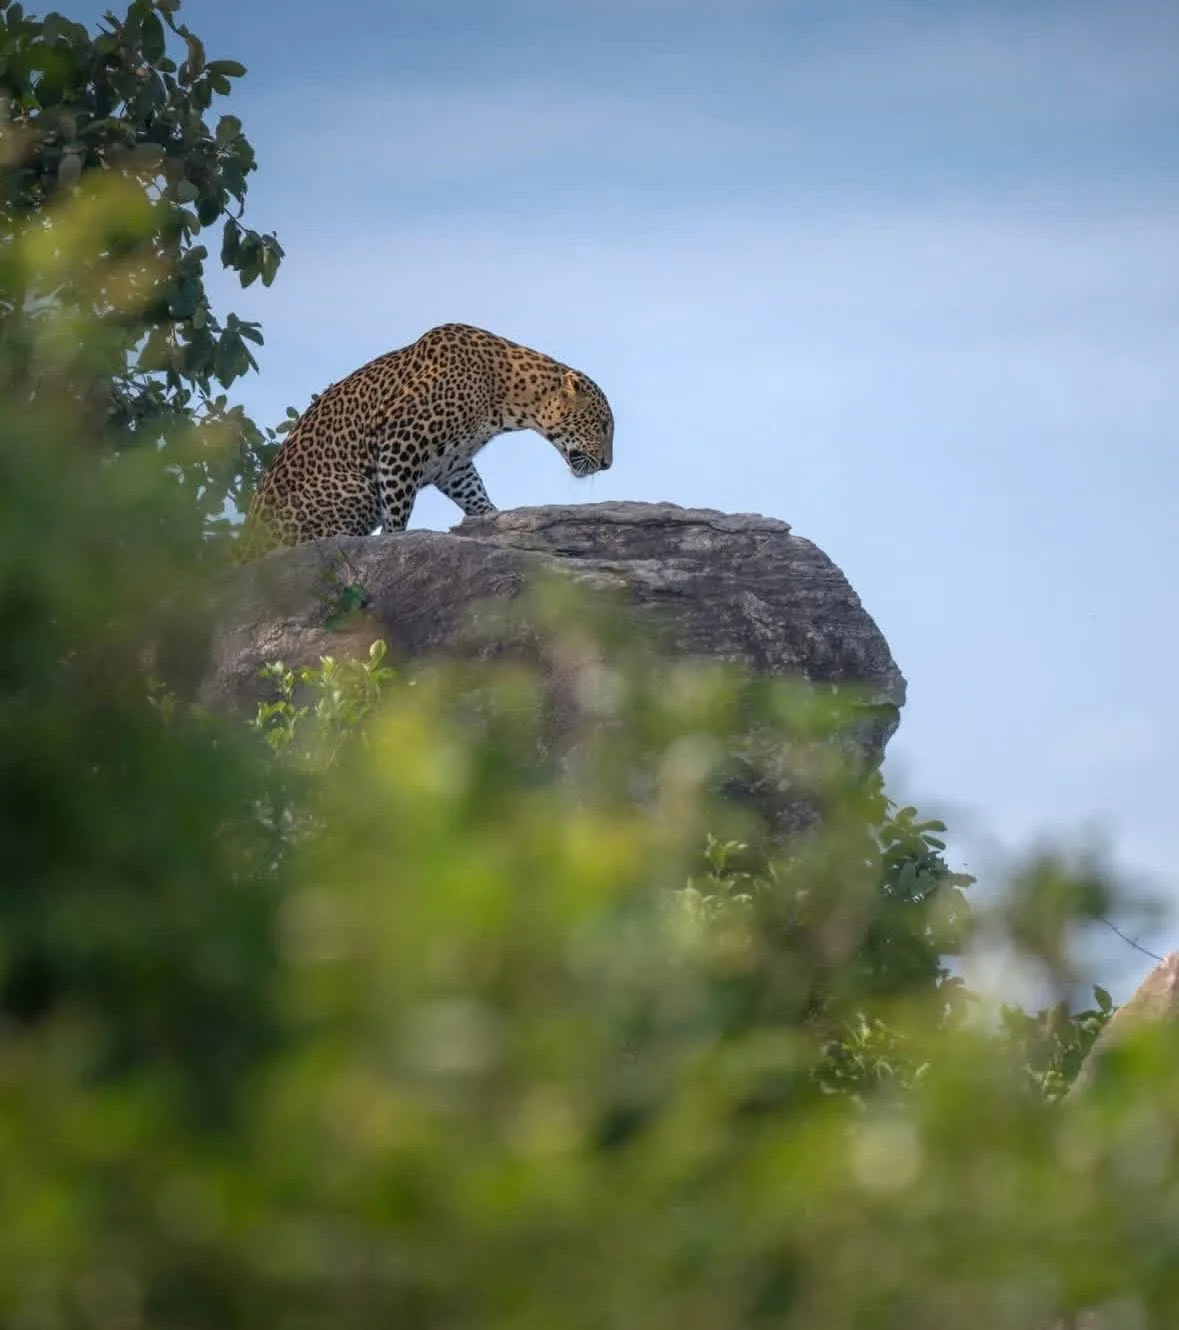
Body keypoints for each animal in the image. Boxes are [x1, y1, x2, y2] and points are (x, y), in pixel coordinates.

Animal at [234, 322, 614, 561]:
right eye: (602, 426)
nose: (608, 464)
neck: (508, 397)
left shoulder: (454, 465)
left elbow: (475, 493)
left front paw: (493, 519)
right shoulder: (401, 441)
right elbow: (397, 509)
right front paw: (391, 545)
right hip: (357, 489)